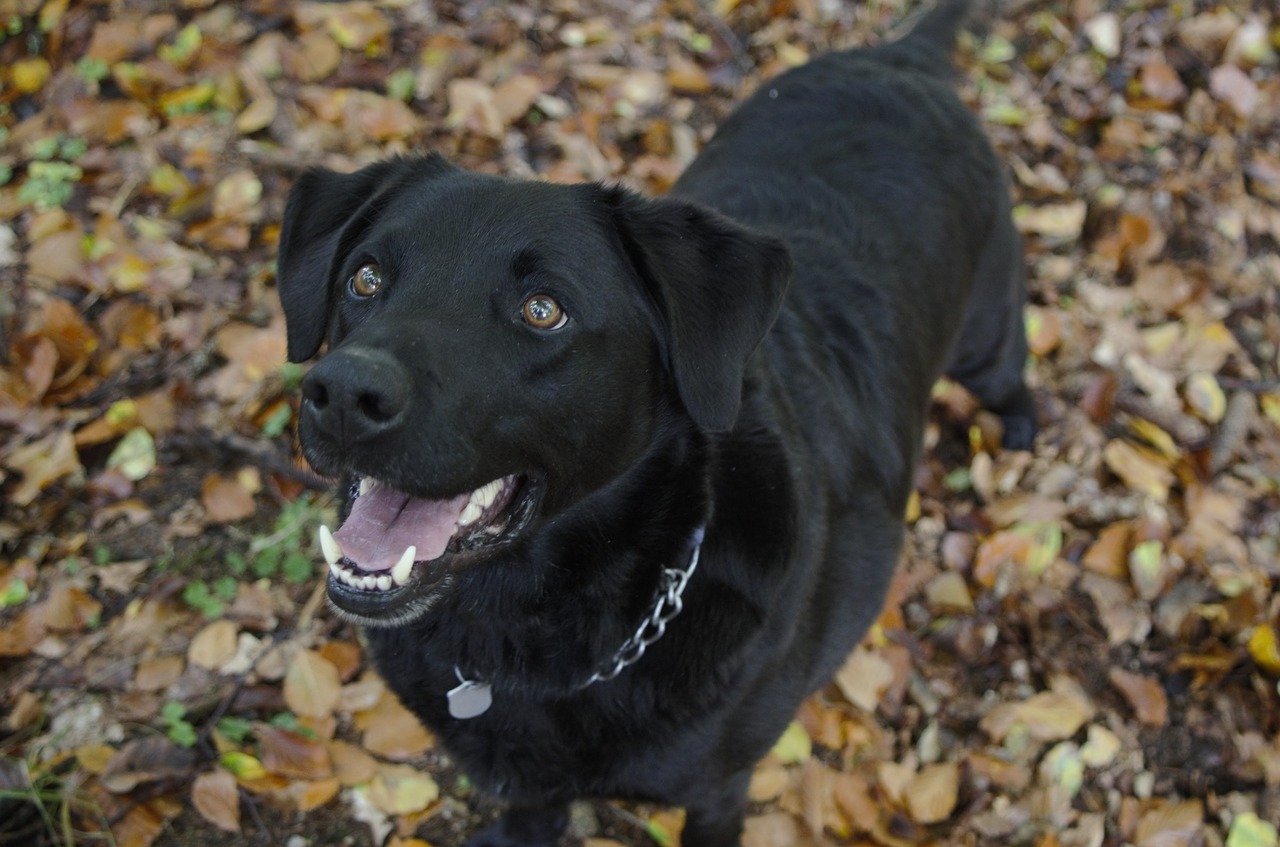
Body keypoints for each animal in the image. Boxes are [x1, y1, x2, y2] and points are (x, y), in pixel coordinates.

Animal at [275, 3, 1034, 844]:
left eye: (543, 309)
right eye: (365, 277)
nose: (344, 393)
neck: (524, 630)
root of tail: (907, 58)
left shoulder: (718, 791)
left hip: (989, 337)